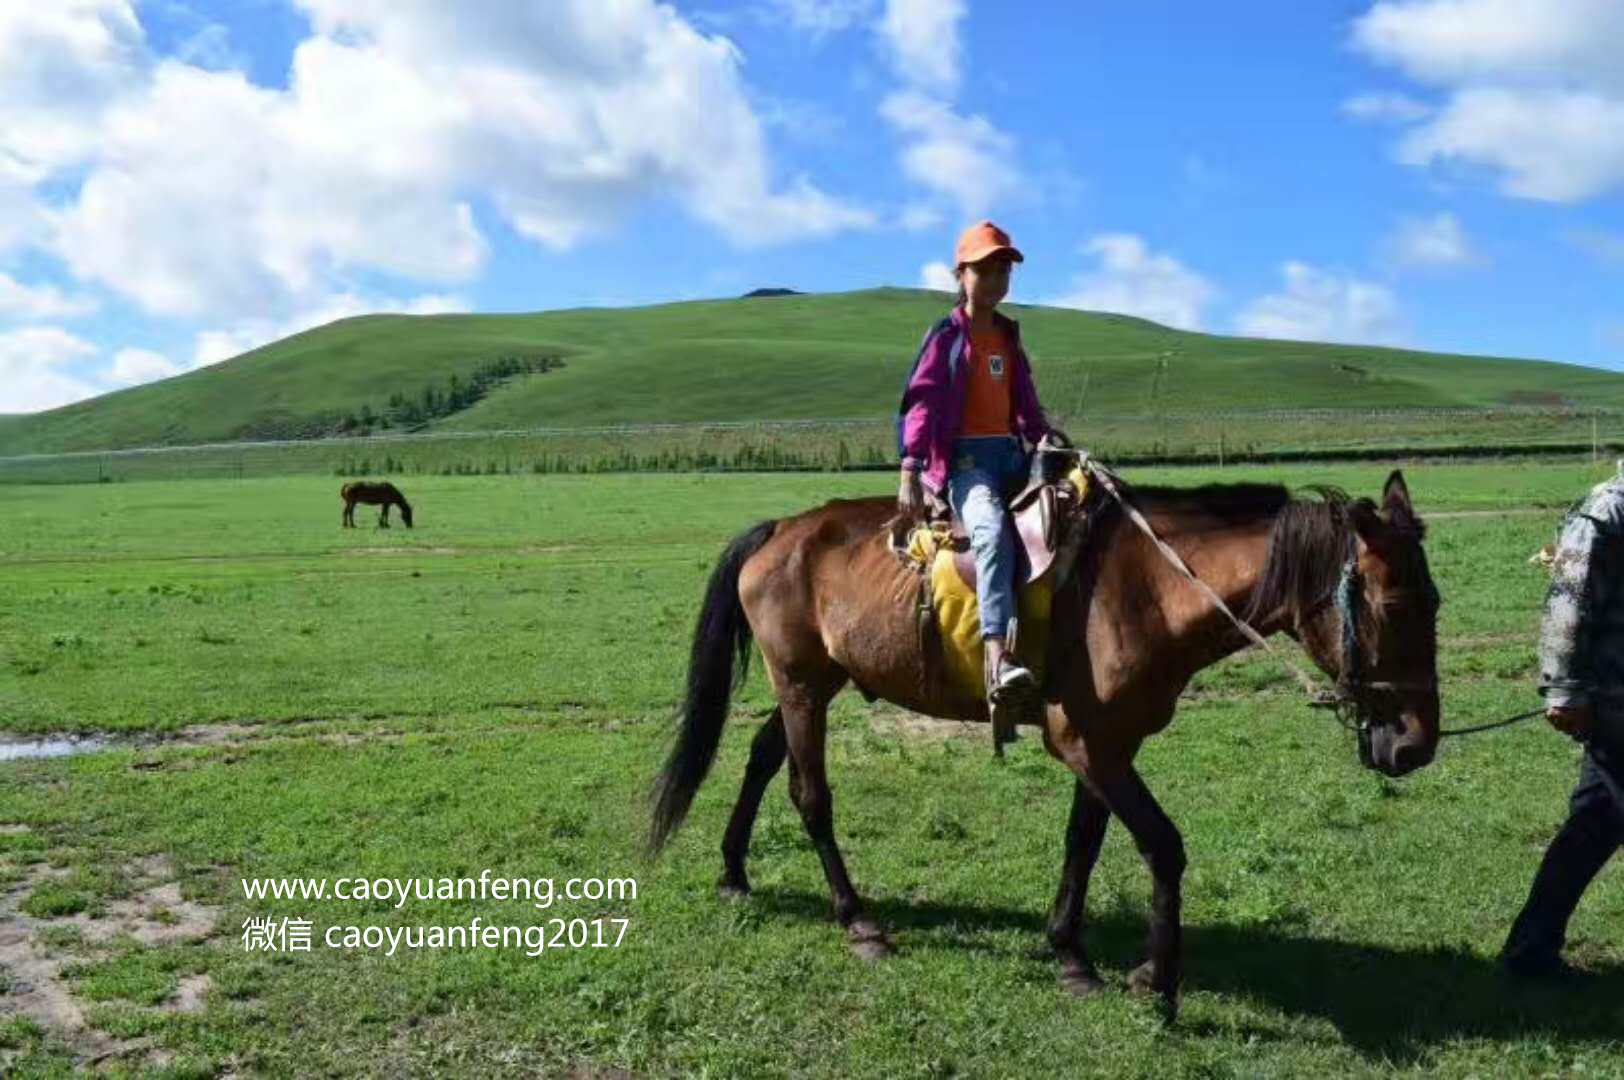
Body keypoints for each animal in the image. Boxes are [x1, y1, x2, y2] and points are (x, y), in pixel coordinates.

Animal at [646, 467, 1435, 1013]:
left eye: (1436, 602)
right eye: (1393, 604)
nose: (1415, 745)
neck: (1149, 588)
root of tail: (780, 529)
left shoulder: (1110, 742)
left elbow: (1084, 840)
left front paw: (1072, 954)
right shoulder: (1086, 743)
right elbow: (1163, 845)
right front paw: (1159, 982)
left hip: (815, 681)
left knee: (759, 758)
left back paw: (733, 872)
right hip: (803, 683)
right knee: (809, 793)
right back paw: (857, 920)